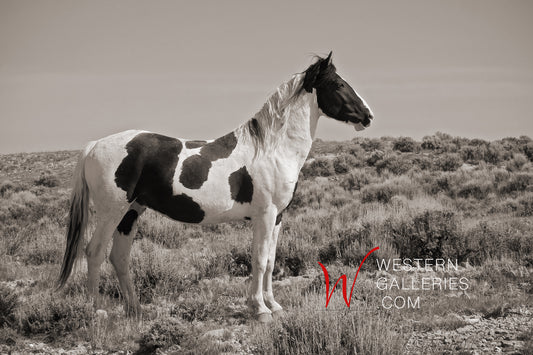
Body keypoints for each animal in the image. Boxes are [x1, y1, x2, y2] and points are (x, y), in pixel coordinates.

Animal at [57, 51, 374, 324]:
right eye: (338, 84)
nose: (368, 116)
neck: (273, 149)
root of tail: (94, 145)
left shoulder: (278, 217)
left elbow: (271, 261)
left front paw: (274, 305)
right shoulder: (264, 215)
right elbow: (259, 260)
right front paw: (260, 310)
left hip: (131, 212)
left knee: (119, 257)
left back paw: (135, 310)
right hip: (112, 211)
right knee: (95, 252)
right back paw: (96, 311)